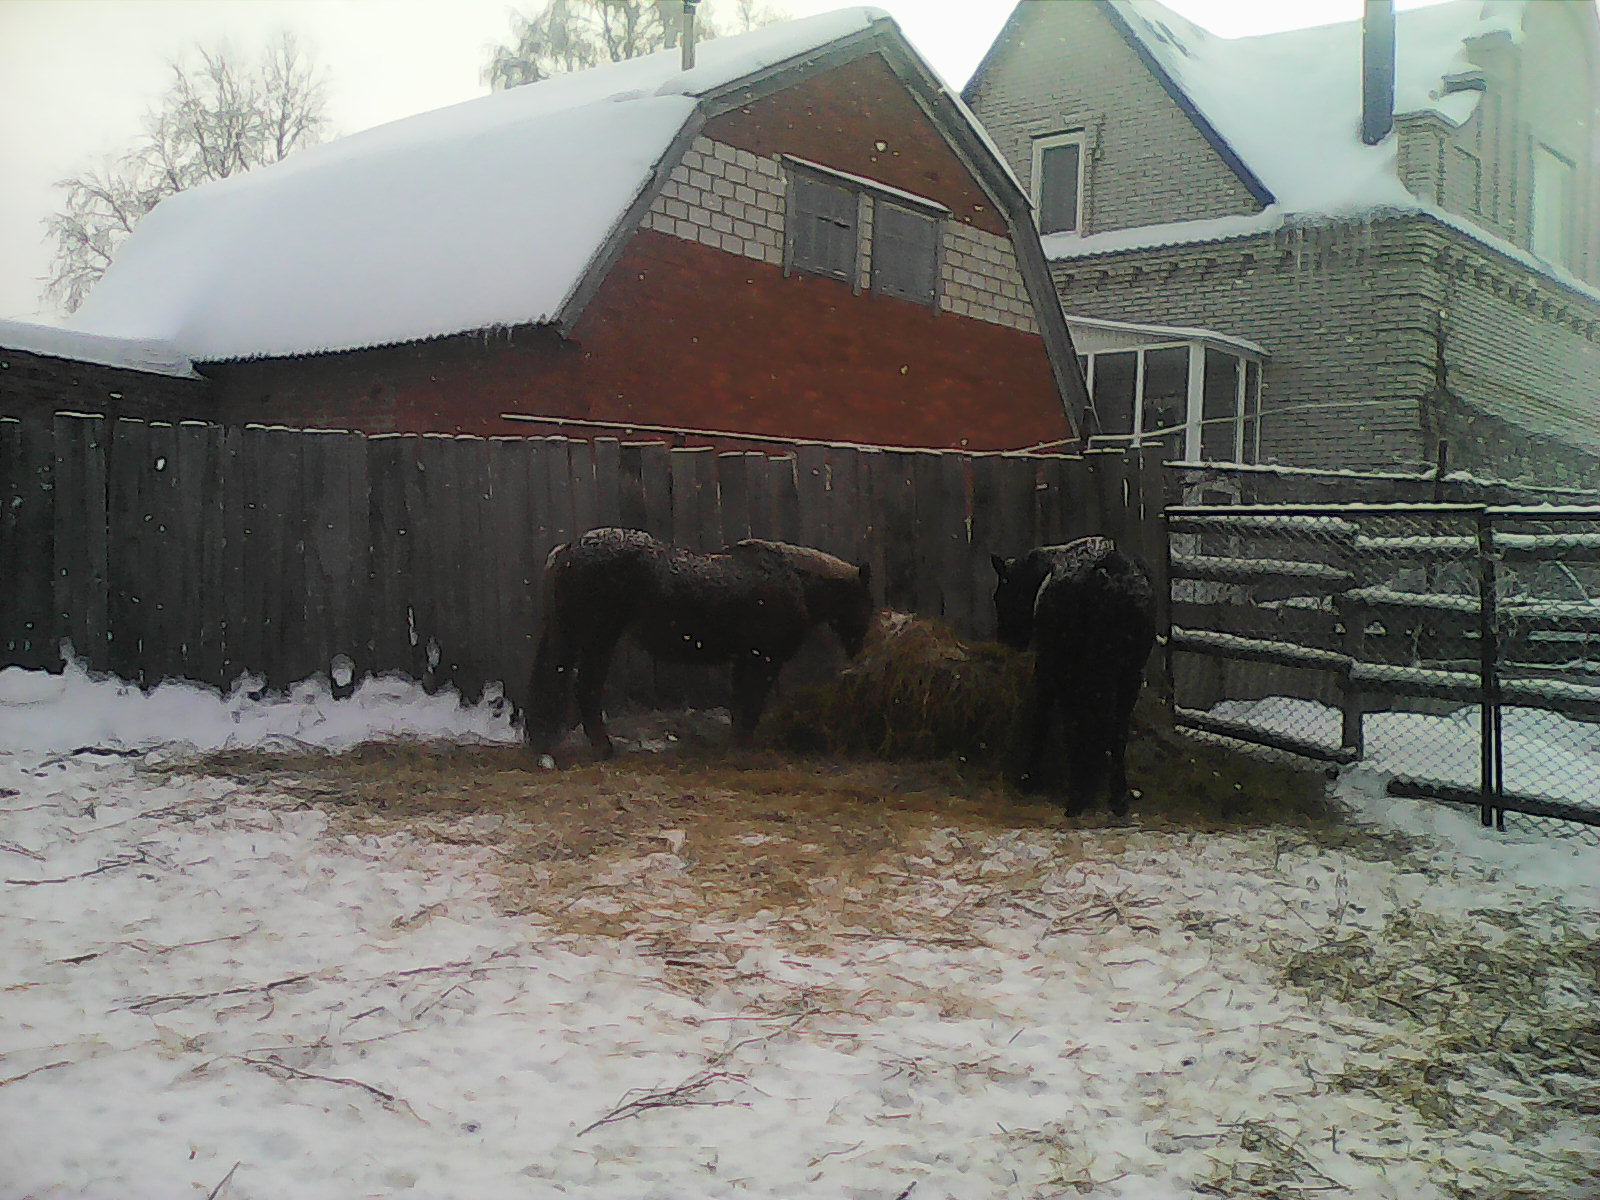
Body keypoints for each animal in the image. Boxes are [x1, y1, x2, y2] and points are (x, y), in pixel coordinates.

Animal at [525, 528, 874, 759]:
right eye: (866, 603)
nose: (862, 652)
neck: (795, 581)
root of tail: (567, 550)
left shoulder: (745, 658)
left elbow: (740, 705)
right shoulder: (764, 660)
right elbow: (751, 706)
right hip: (597, 640)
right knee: (586, 688)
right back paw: (603, 748)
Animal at [991, 536, 1157, 817]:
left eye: (999, 596)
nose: (1005, 639)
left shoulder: (1048, 667)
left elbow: (1043, 720)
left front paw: (1029, 778)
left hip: (1071, 669)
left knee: (1077, 724)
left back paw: (1076, 797)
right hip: (1128, 674)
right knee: (1117, 730)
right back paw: (1116, 798)